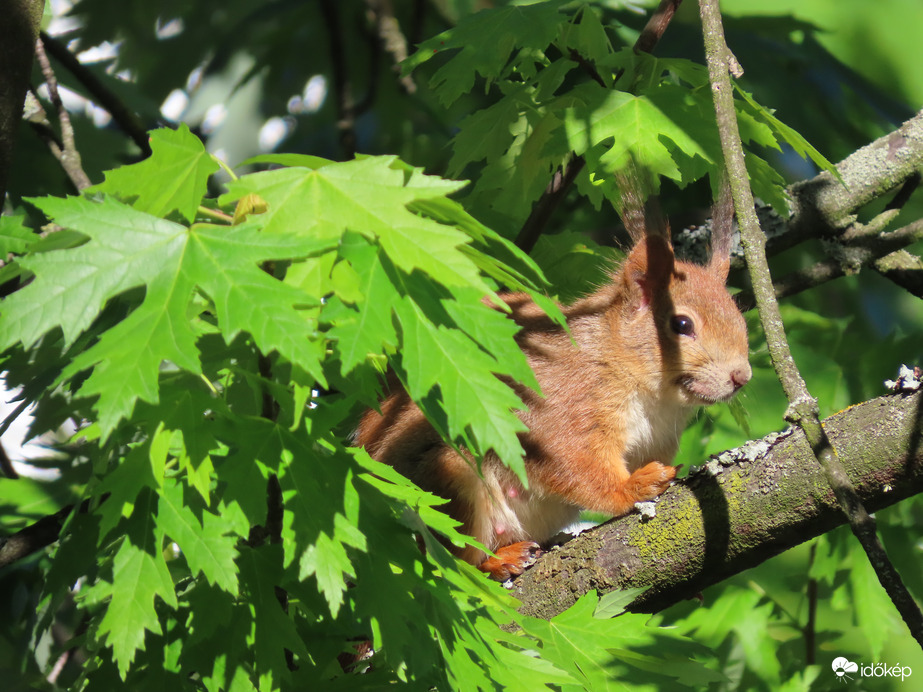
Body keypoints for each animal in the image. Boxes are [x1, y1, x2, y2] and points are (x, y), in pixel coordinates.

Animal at [354, 177, 752, 580]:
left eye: (739, 315)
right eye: (682, 324)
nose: (742, 376)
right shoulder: (562, 406)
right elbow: (573, 466)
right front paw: (632, 488)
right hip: (446, 478)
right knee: (453, 562)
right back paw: (498, 561)